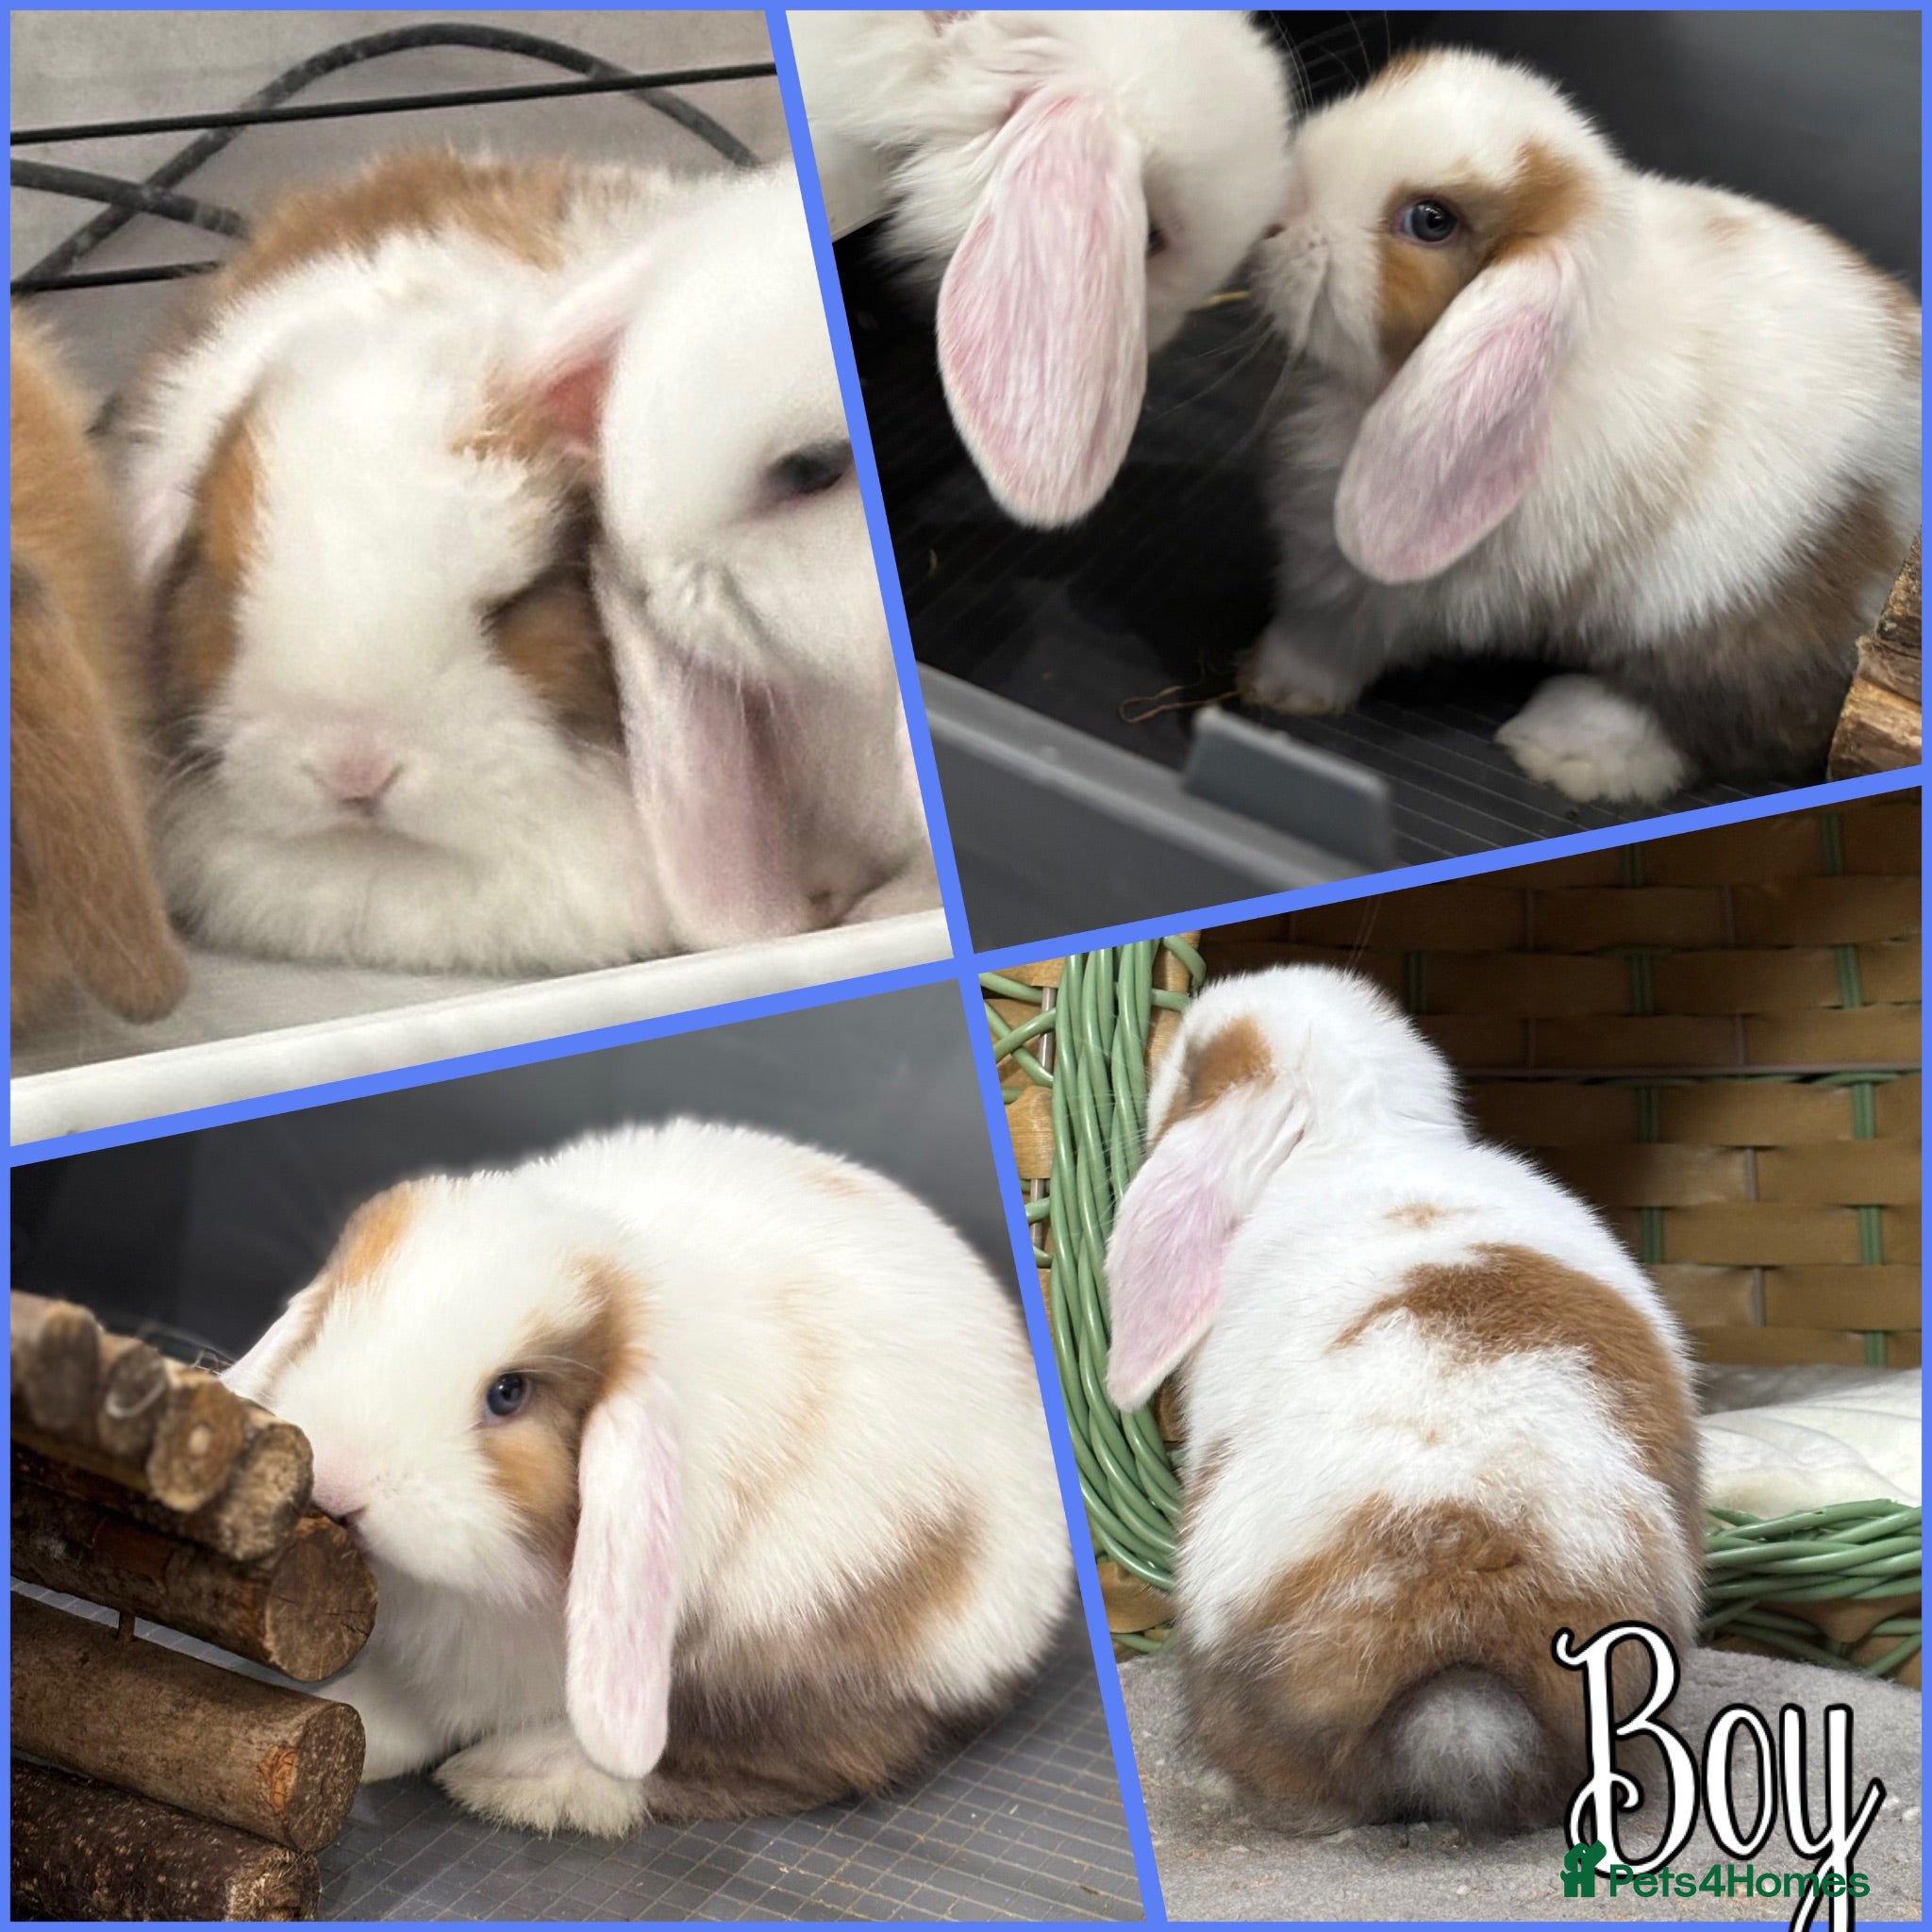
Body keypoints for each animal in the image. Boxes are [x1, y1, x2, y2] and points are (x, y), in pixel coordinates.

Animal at [223, 1120, 1073, 1836]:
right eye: (326, 1324)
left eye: (509, 1393)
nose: (337, 1481)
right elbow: (398, 1708)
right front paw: (349, 1716)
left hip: (809, 1633)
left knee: (801, 1757)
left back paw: (518, 1778)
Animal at [1246, 48, 1922, 804]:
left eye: (1430, 220)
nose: (1274, 216)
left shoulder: (1367, 589)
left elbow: (1327, 634)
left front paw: (1270, 684)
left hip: (1735, 613)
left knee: (1734, 722)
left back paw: (1561, 744)